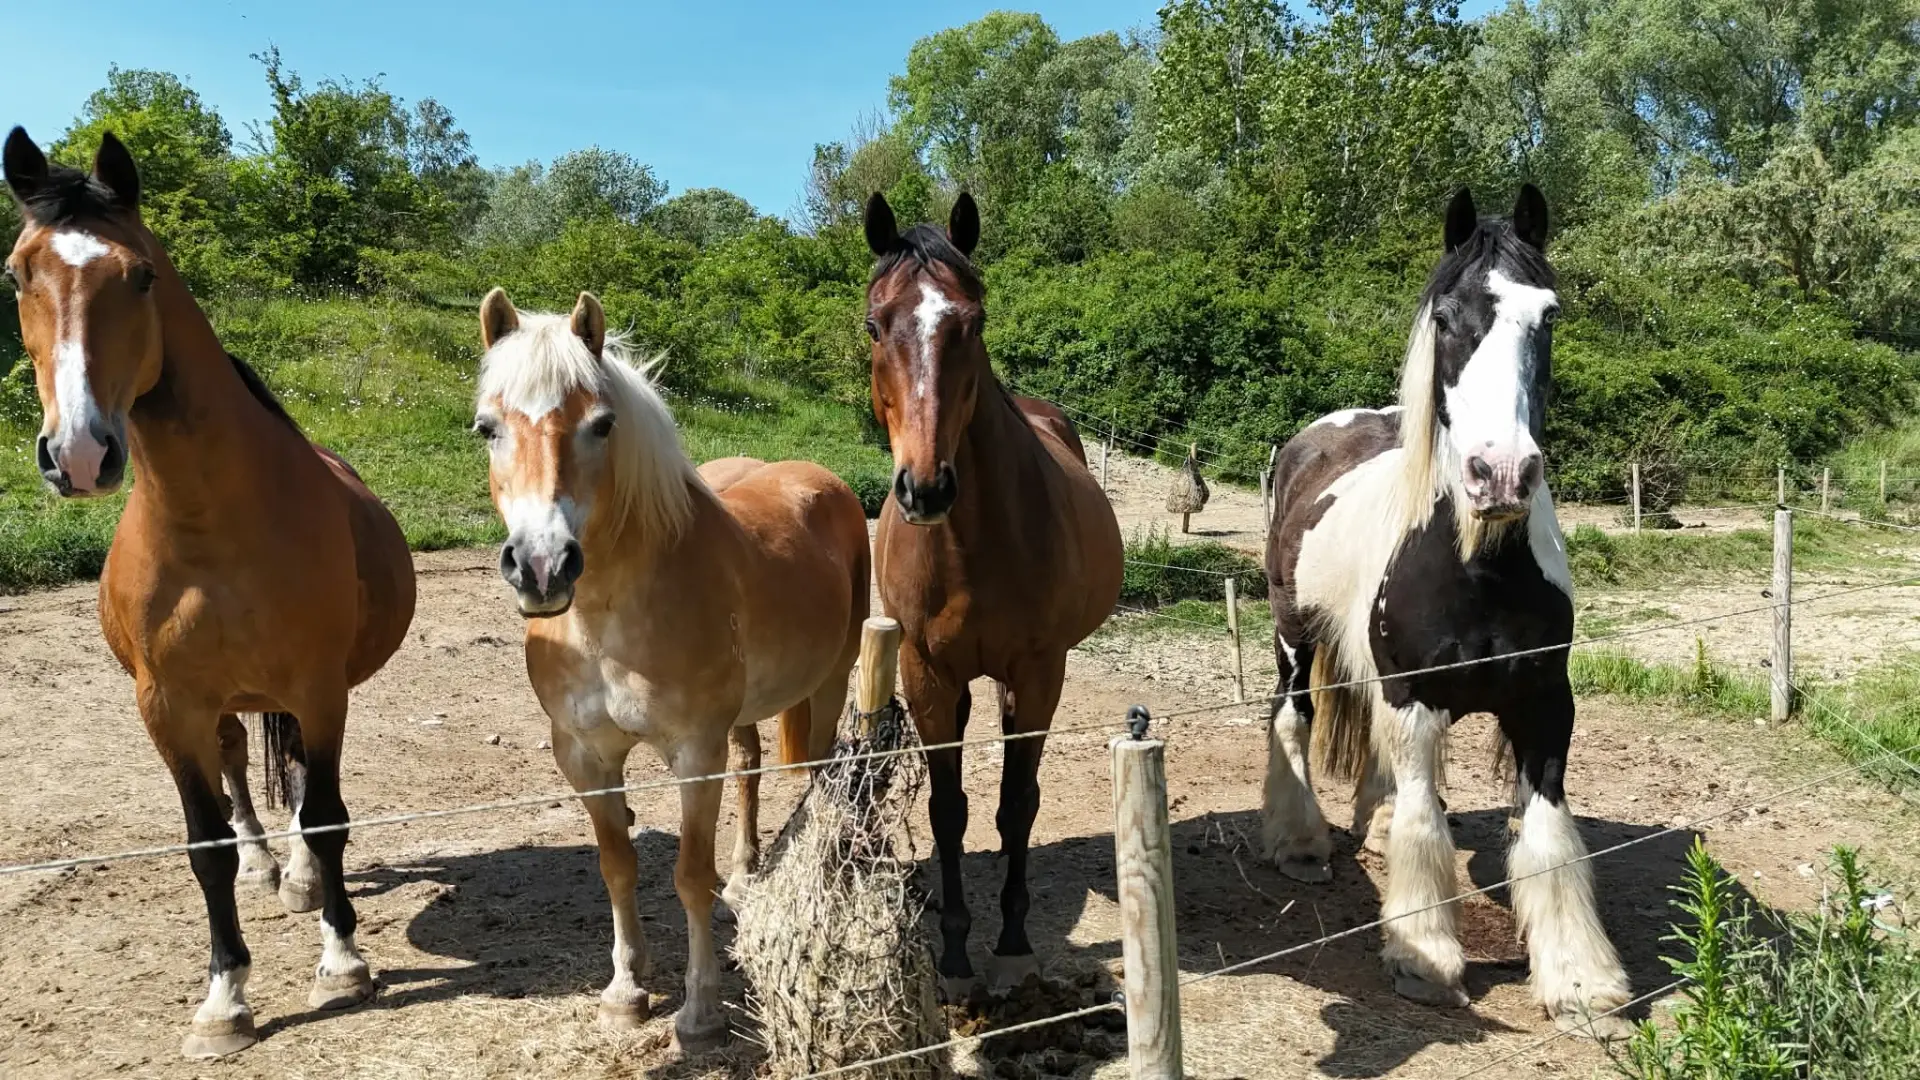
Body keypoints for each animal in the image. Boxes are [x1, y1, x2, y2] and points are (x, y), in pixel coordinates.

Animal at [3, 127, 417, 1057]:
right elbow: (204, 846)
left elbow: (325, 814)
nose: (78, 453)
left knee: (296, 785)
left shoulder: (320, 688)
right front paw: (225, 998)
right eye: (16, 274)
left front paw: (342, 960)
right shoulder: (167, 703)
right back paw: (268, 864)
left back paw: (299, 878)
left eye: (140, 276)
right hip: (220, 702)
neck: (210, 525)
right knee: (236, 771)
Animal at [471, 288, 869, 1050]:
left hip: (831, 680)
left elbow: (688, 875)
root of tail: (822, 478)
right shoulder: (585, 756)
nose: (541, 566)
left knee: (817, 769)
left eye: (601, 425)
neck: (607, 619)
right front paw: (626, 989)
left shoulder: (692, 753)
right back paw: (745, 876)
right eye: (486, 427)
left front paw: (701, 1007)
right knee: (750, 767)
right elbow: (617, 865)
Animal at [862, 192, 1124, 995]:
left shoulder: (1039, 673)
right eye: (875, 324)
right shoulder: (925, 673)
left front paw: (1010, 941)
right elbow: (949, 810)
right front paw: (952, 952)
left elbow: (1017, 804)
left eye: (972, 322)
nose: (925, 488)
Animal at [1260, 184, 1631, 1037]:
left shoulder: (1545, 702)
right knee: (1291, 720)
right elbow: (1423, 826)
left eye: (1548, 315)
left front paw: (1580, 979)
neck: (1478, 568)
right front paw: (1422, 956)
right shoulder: (1416, 696)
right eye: (1447, 315)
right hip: (1294, 639)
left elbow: (1548, 832)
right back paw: (1300, 842)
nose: (1501, 473)